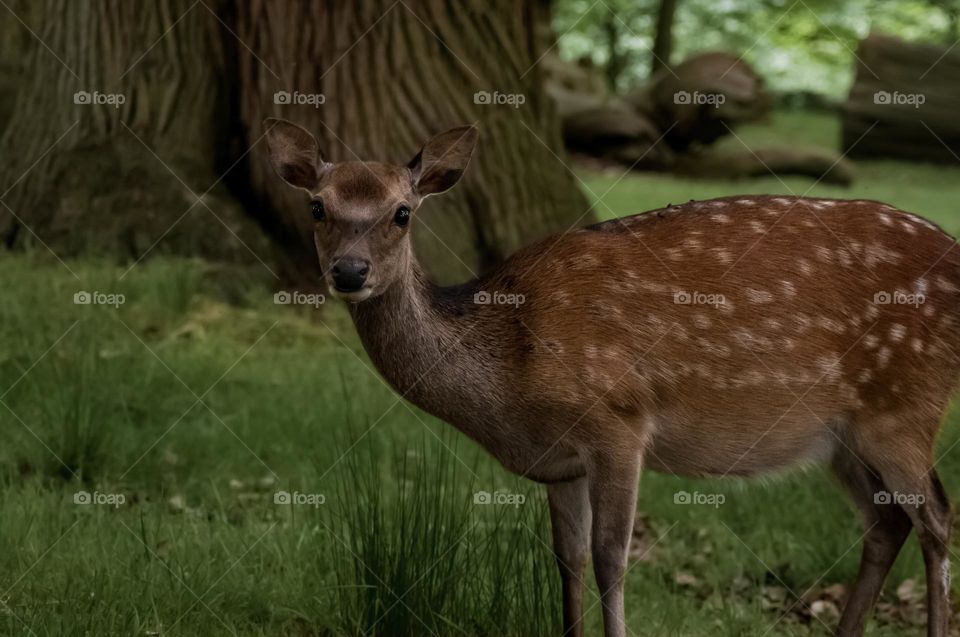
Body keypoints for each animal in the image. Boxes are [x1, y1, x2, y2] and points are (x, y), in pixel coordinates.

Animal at [264, 118, 960, 636]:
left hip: (904, 408)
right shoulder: (560, 461)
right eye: (318, 207)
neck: (511, 369)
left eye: (403, 212)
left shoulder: (619, 421)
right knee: (886, 522)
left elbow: (610, 560)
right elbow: (567, 560)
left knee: (936, 518)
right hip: (842, 437)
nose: (349, 271)